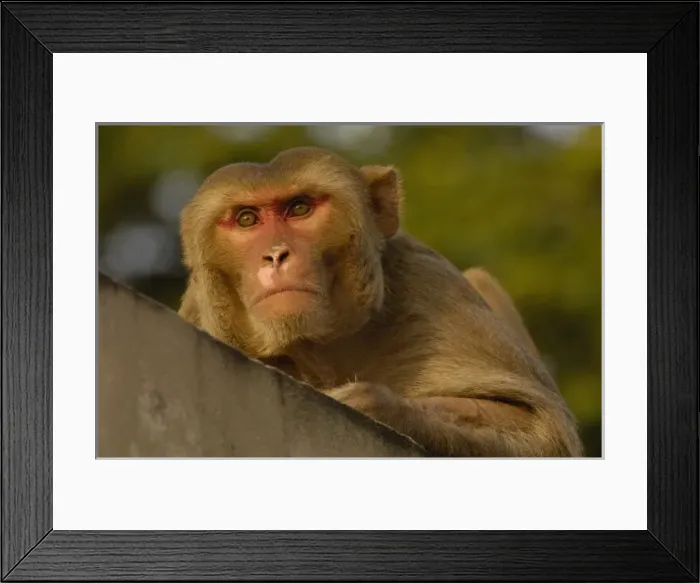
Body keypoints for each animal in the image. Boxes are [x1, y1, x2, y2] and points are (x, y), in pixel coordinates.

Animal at [178, 146, 584, 457]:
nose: (276, 255)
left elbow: (544, 429)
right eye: (247, 219)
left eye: (300, 208)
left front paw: (373, 403)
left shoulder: (430, 287)